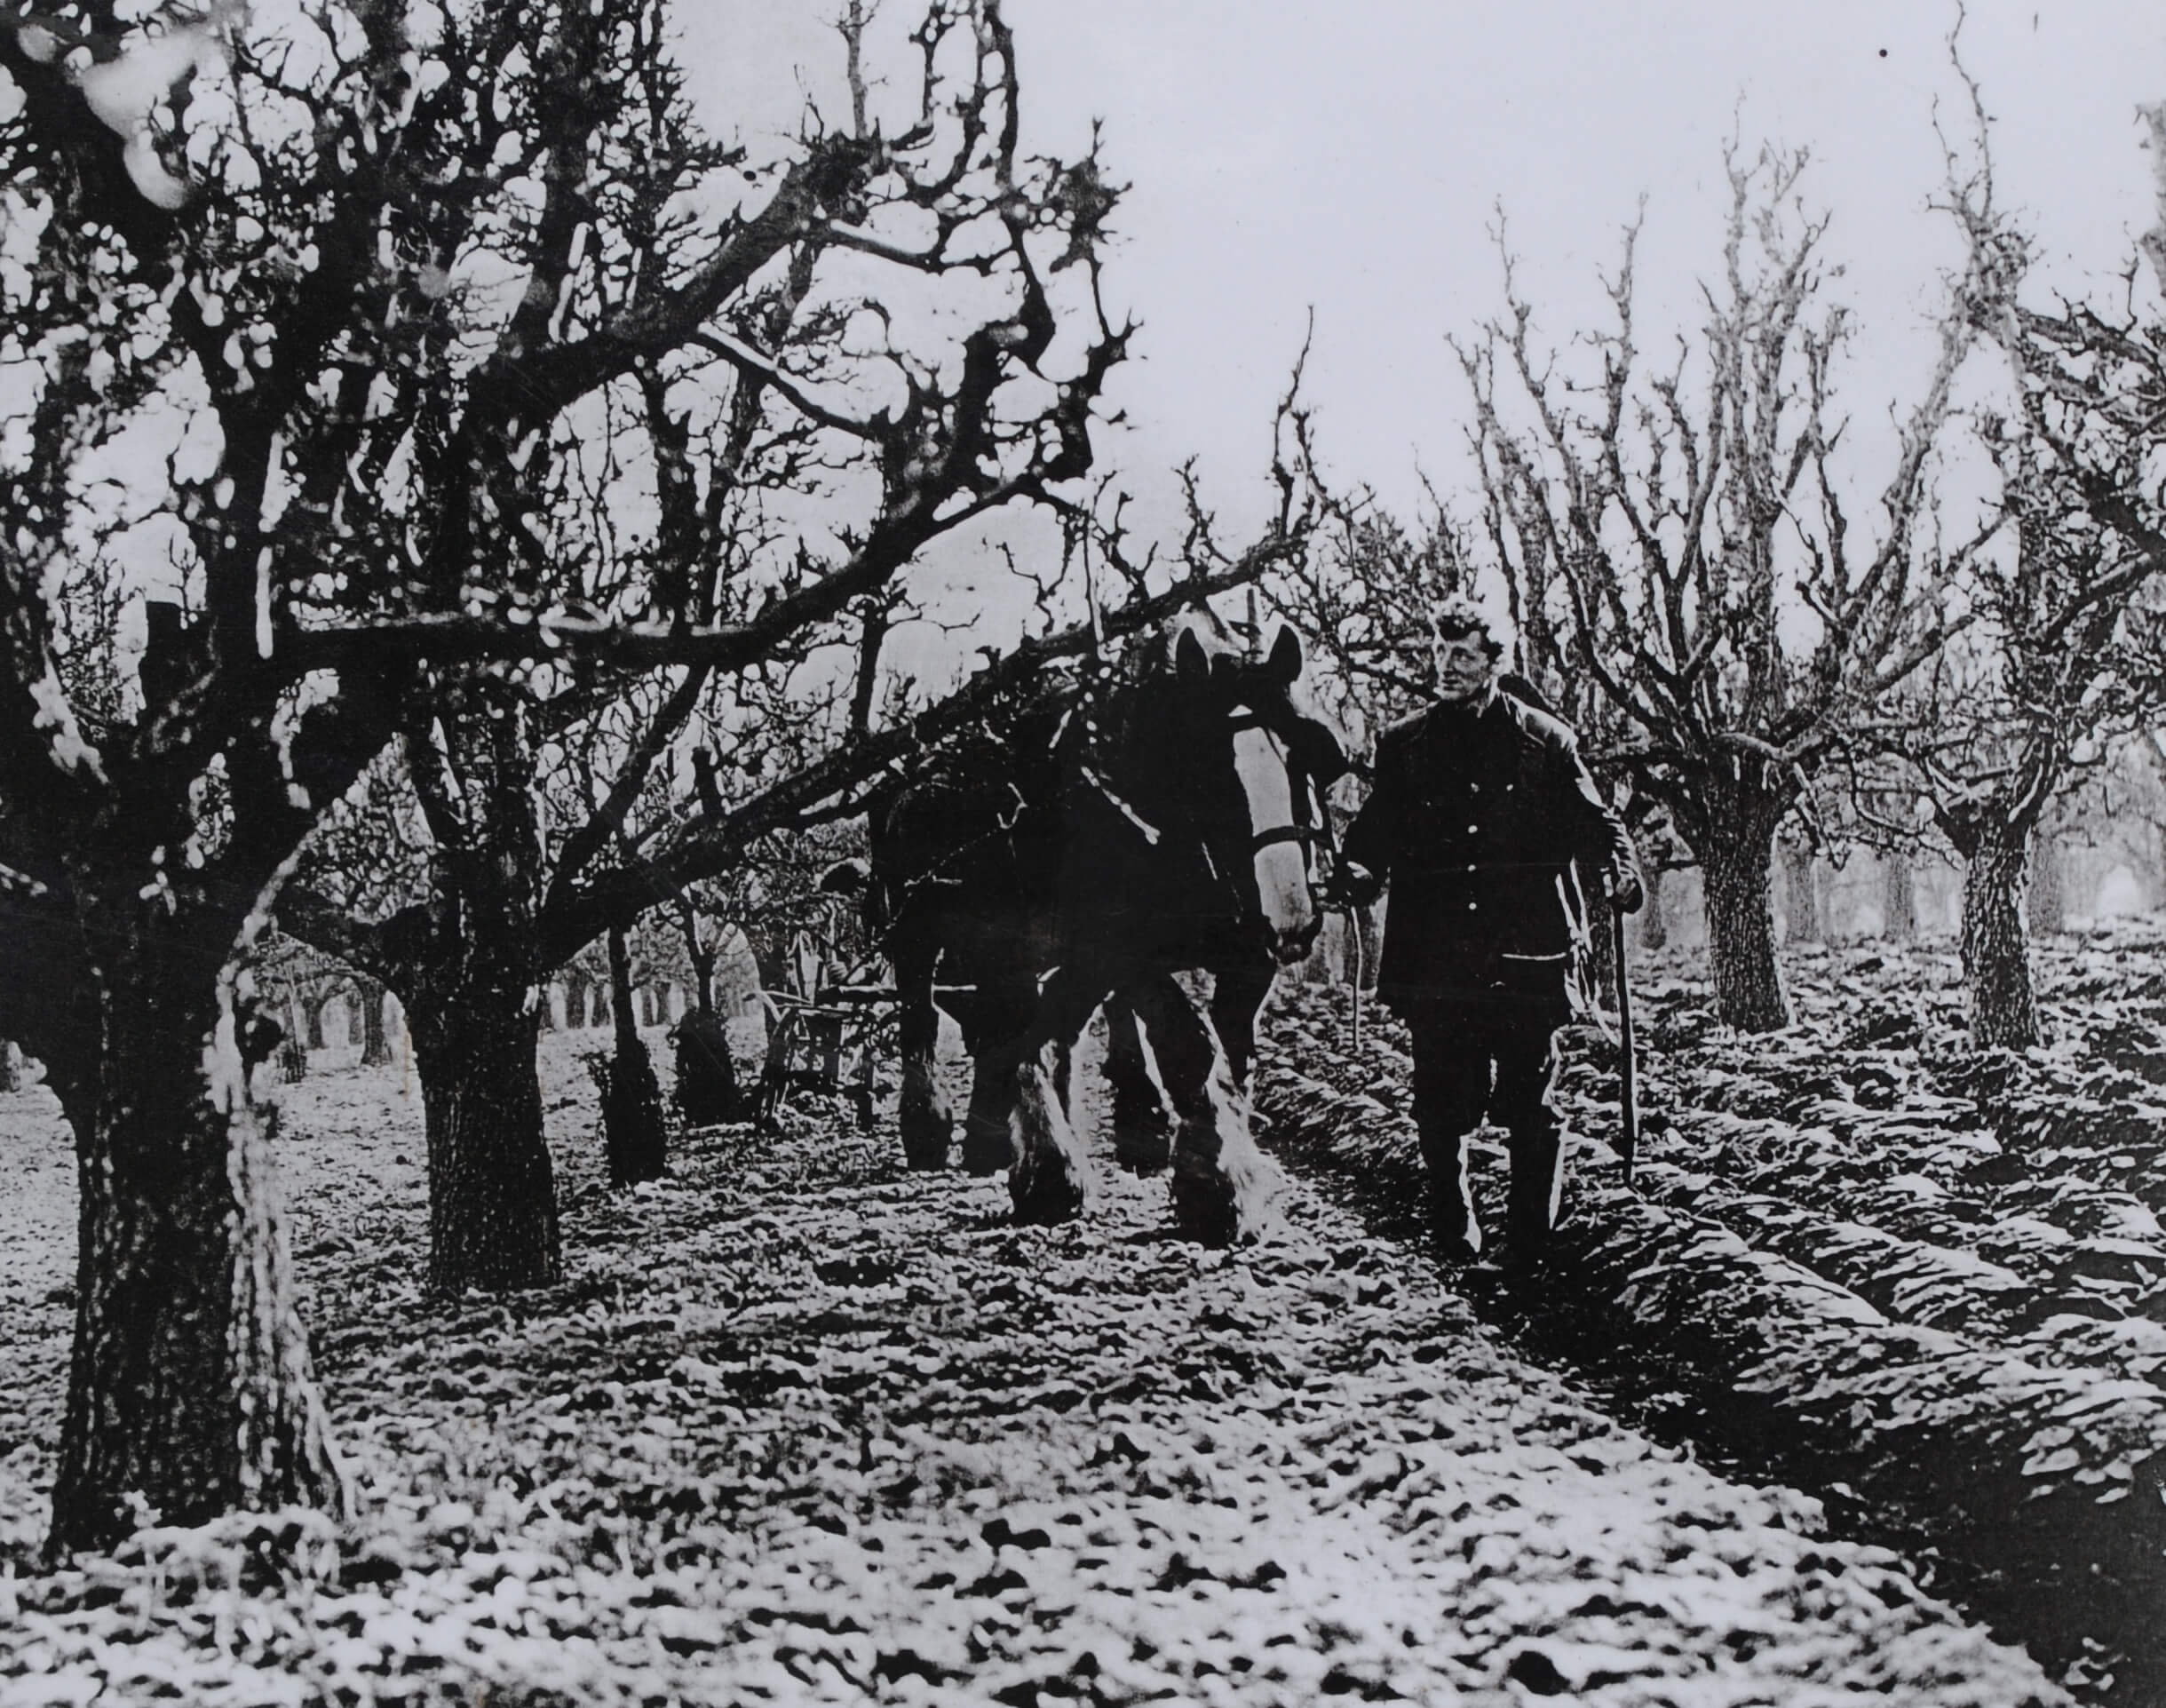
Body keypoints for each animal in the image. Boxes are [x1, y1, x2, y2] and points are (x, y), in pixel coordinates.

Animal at [849, 616, 1343, 1239]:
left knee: (1027, 1026)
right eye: (1205, 769)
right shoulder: (1123, 949)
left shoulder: (1242, 957)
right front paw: (1212, 1189)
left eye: (1313, 756)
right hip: (918, 930)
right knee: (927, 1016)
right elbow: (1186, 1045)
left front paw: (1213, 1167)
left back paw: (1018, 1149)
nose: (1289, 917)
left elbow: (1231, 1052)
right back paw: (942, 1133)